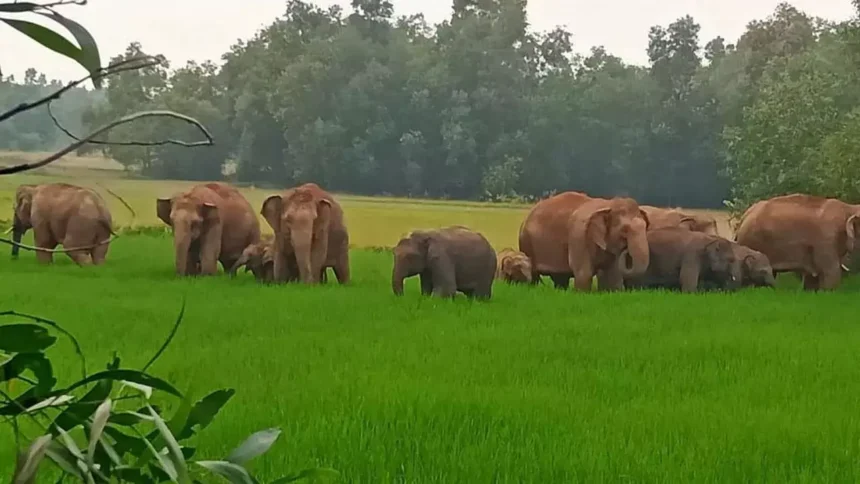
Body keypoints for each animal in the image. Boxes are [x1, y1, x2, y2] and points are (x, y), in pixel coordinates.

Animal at [518, 191, 650, 291]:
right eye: (624, 230)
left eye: (646, 227)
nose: (626, 250)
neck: (607, 204)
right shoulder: (579, 235)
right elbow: (584, 273)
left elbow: (613, 277)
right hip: (526, 242)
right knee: (534, 275)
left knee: (560, 278)